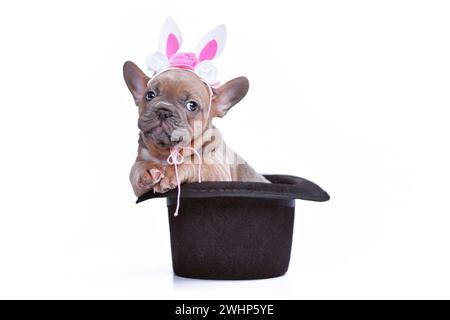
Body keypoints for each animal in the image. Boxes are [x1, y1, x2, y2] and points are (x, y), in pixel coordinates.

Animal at [124, 61, 268, 196]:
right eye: (150, 95)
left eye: (192, 105)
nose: (163, 111)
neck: (166, 153)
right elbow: (135, 168)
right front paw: (147, 170)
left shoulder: (218, 171)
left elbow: (194, 162)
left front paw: (173, 173)